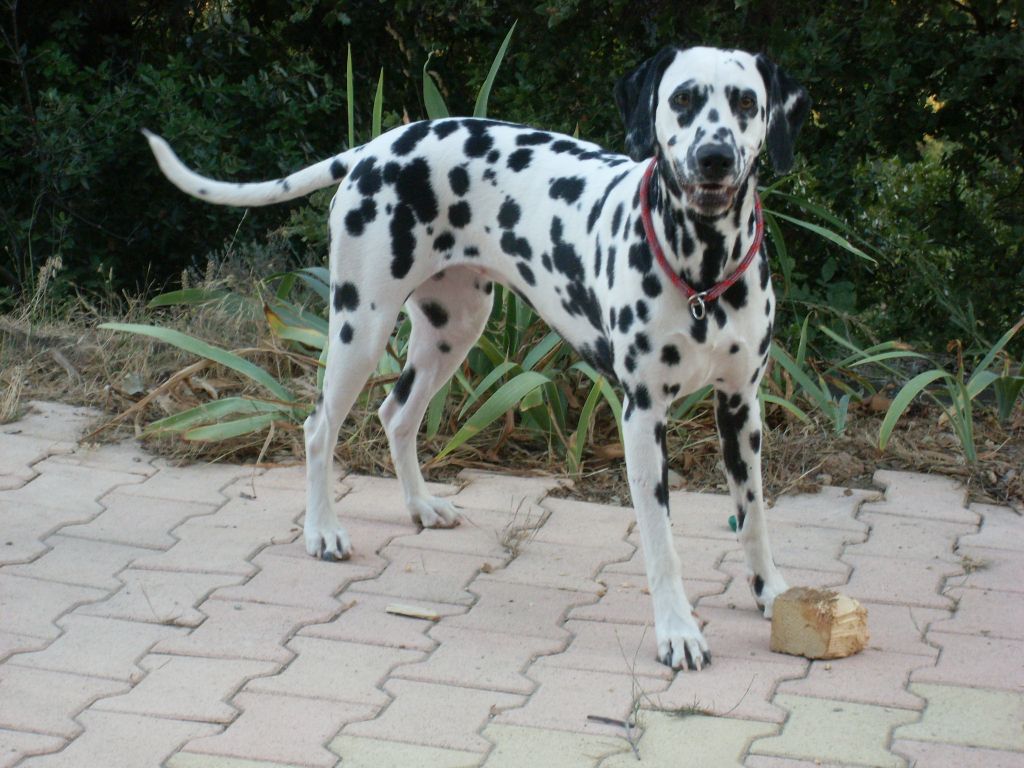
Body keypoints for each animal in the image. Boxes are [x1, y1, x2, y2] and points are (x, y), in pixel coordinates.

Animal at [144, 46, 806, 671]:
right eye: (683, 99)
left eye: (746, 102)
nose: (714, 156)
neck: (704, 271)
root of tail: (379, 144)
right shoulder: (642, 417)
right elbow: (662, 544)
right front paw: (678, 632)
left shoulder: (741, 409)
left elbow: (755, 517)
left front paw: (771, 592)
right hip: (361, 327)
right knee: (318, 427)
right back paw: (323, 530)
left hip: (452, 331)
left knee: (396, 414)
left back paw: (419, 506)